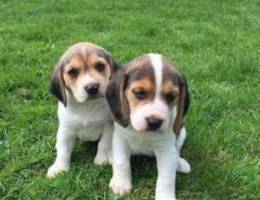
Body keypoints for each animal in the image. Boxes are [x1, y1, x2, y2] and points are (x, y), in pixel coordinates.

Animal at [47, 43, 118, 177]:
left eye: (100, 66)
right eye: (73, 72)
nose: (92, 87)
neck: (87, 106)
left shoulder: (108, 126)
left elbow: (103, 144)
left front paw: (101, 159)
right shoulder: (66, 129)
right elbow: (63, 150)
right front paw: (59, 167)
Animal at [106, 53, 191, 200]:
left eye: (171, 96)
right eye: (139, 93)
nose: (154, 121)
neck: (143, 134)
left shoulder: (166, 149)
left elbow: (166, 178)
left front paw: (165, 197)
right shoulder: (120, 139)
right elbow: (121, 162)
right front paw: (121, 184)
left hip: (182, 131)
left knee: (177, 149)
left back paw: (179, 163)